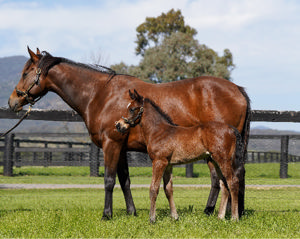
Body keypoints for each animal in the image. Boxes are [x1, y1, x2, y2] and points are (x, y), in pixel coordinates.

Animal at [116, 89, 245, 222]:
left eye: (132, 109)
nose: (119, 125)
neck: (158, 131)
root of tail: (231, 129)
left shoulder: (159, 162)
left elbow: (154, 188)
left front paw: (152, 219)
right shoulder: (168, 164)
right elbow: (168, 189)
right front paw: (174, 217)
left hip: (223, 160)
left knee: (233, 182)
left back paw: (234, 218)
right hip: (215, 161)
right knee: (224, 185)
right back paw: (220, 217)